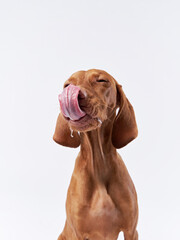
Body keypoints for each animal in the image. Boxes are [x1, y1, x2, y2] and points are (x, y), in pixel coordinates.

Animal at [52, 69, 139, 240]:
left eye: (101, 80)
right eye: (67, 85)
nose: (76, 94)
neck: (98, 163)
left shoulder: (131, 231)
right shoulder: (77, 233)